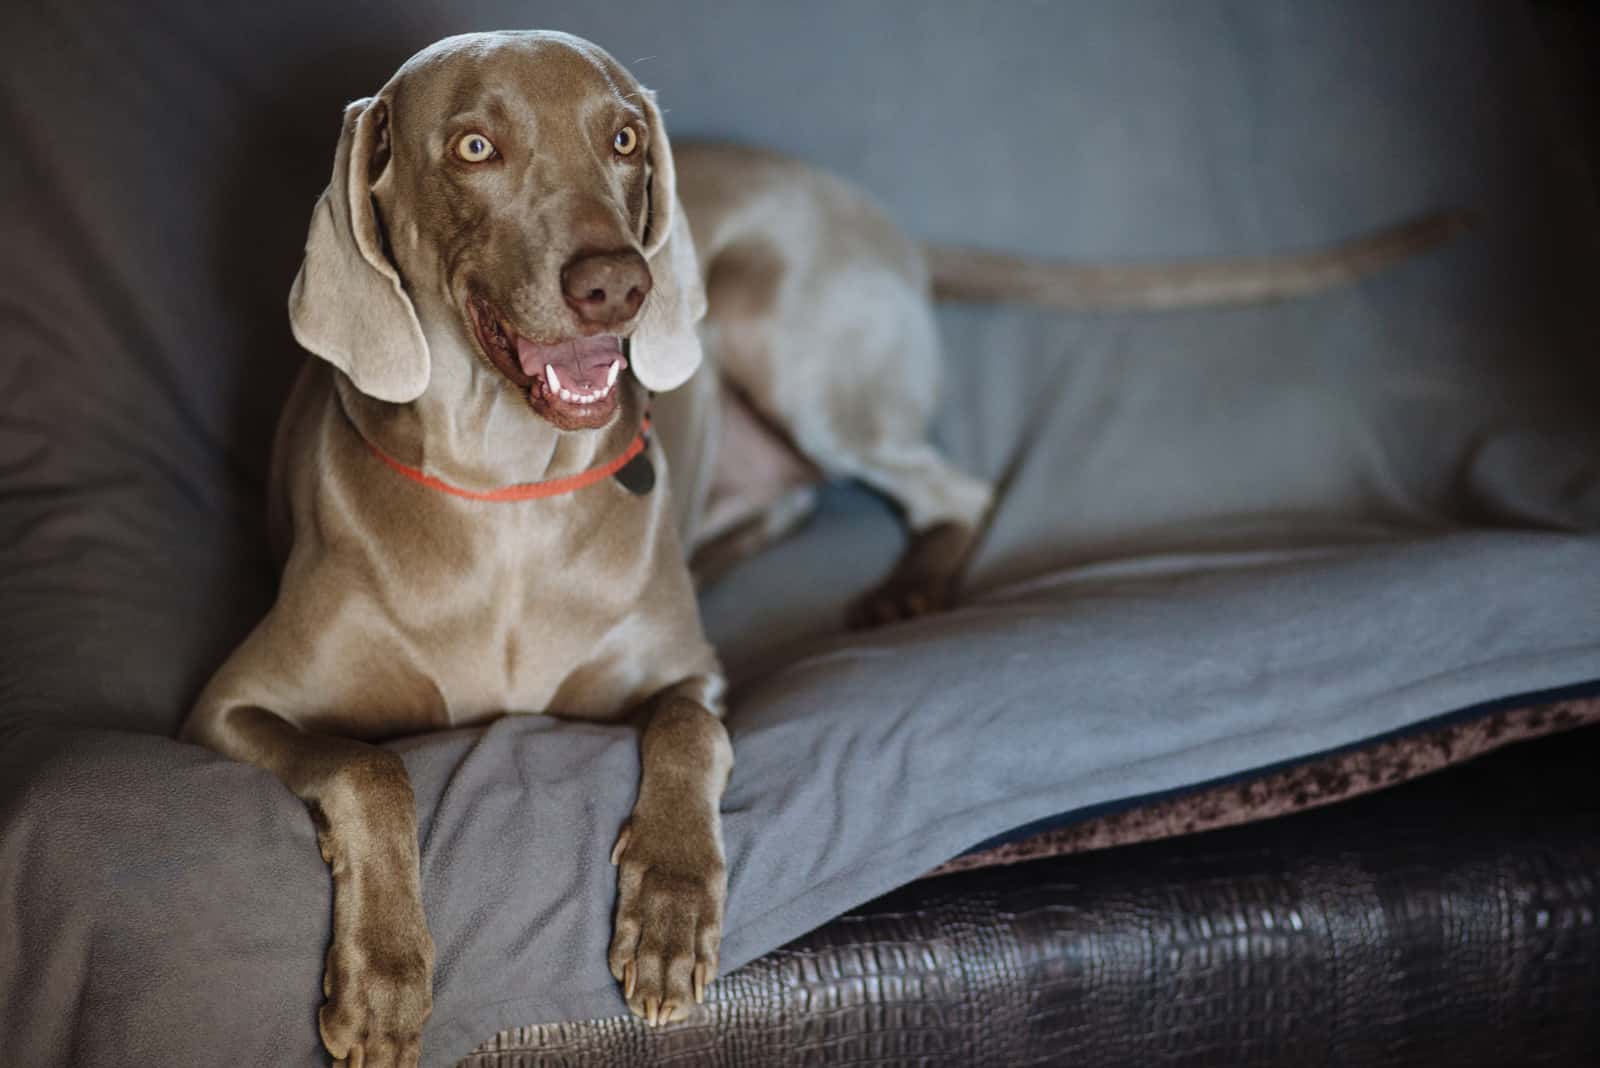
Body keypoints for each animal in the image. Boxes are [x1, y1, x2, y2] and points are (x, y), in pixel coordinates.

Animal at [178, 29, 1465, 1061]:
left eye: (623, 137)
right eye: (474, 147)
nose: (617, 286)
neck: (504, 493)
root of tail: (868, 211)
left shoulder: (685, 674)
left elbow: (689, 730)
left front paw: (670, 913)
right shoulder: (231, 707)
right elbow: (370, 765)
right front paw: (384, 984)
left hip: (785, 341)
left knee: (953, 486)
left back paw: (905, 588)